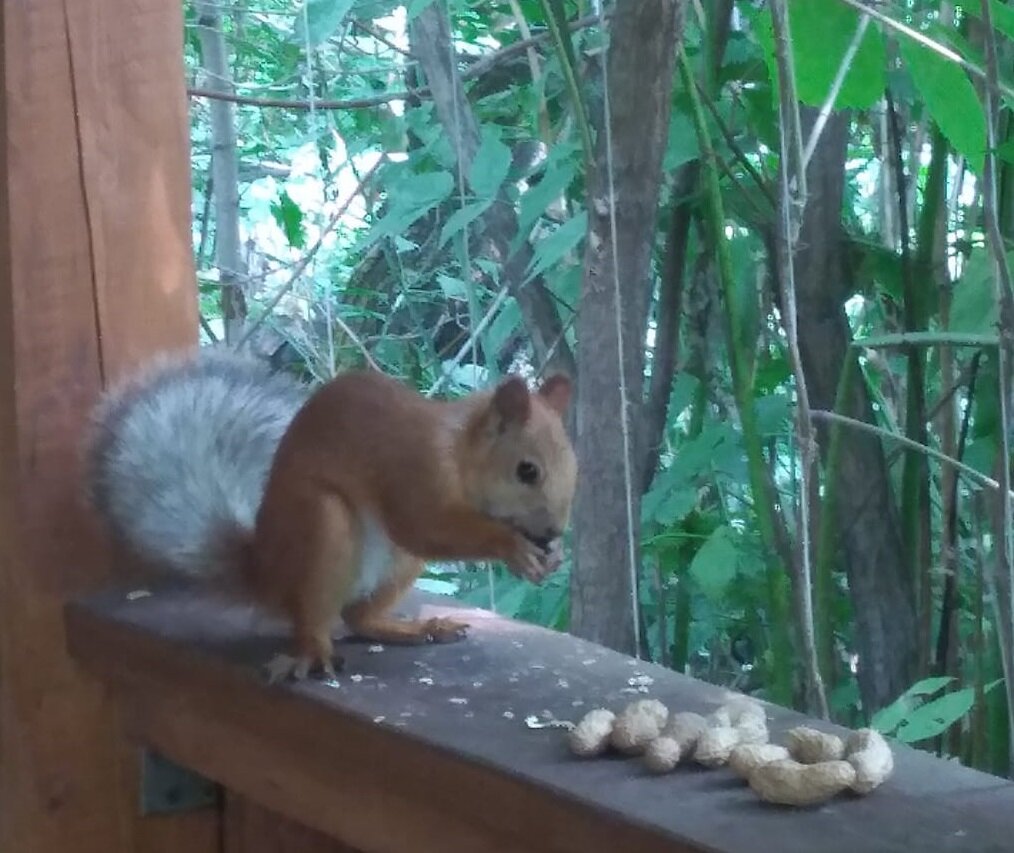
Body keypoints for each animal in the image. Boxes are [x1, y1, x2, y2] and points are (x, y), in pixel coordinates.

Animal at [85, 348, 580, 681]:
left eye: (574, 465)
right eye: (527, 470)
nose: (552, 531)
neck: (458, 451)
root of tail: (265, 573)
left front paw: (551, 556)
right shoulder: (413, 470)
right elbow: (423, 524)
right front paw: (512, 546)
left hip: (397, 562)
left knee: (358, 617)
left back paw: (417, 627)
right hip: (324, 526)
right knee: (316, 613)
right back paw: (311, 652)